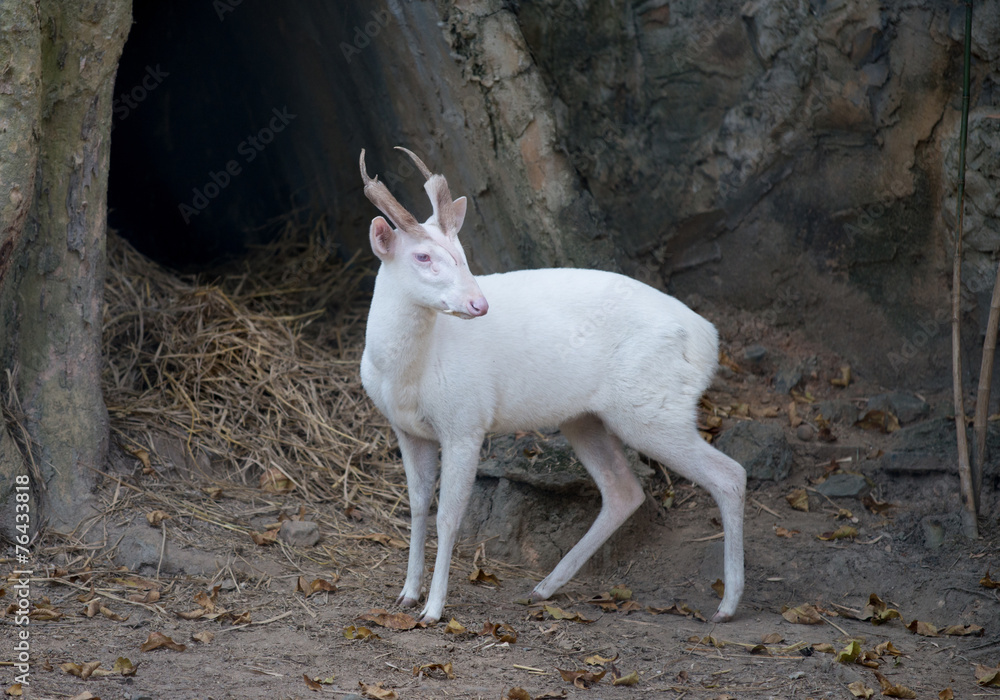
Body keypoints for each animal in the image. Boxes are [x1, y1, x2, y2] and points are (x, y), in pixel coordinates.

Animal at [360, 148, 744, 624]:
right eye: (423, 257)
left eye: (462, 252)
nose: (478, 304)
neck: (407, 374)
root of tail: (708, 340)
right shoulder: (407, 429)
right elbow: (415, 506)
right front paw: (407, 594)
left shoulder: (466, 421)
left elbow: (448, 516)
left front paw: (433, 610)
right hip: (585, 418)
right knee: (624, 489)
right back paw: (543, 587)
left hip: (654, 409)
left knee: (730, 474)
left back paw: (727, 605)